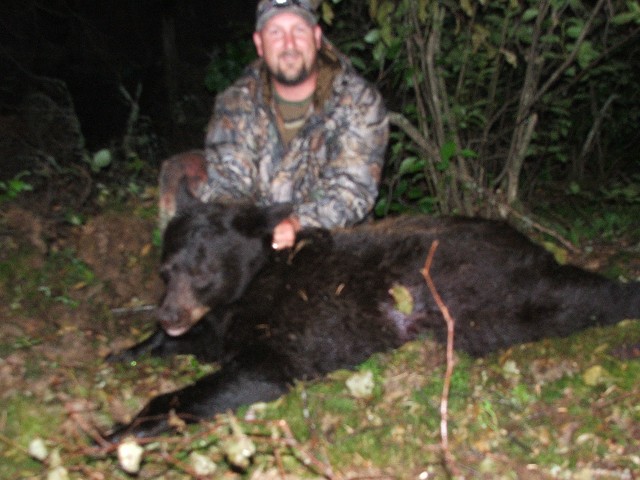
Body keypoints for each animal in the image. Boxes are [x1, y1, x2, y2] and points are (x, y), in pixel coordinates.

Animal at [105, 185, 640, 442]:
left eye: (203, 272)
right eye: (165, 270)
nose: (170, 315)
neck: (254, 280)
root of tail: (528, 242)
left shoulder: (286, 335)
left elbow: (257, 371)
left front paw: (126, 427)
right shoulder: (217, 323)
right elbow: (191, 342)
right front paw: (130, 349)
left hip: (506, 297)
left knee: (579, 297)